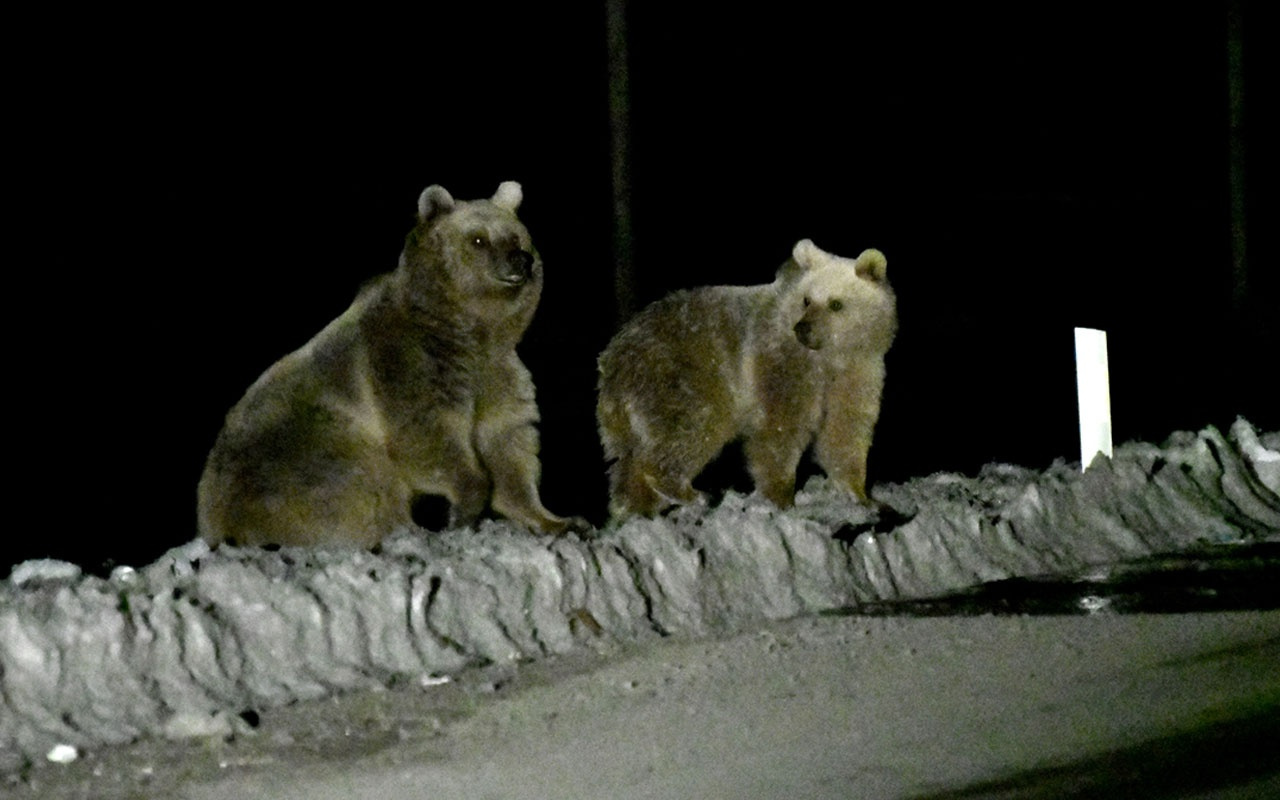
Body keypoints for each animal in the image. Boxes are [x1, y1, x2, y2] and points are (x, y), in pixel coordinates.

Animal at [199, 179, 586, 547]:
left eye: (517, 236)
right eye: (478, 239)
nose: (520, 260)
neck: (471, 330)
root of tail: (210, 519)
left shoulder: (497, 373)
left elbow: (509, 443)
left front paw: (557, 519)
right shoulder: (405, 363)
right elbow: (427, 436)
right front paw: (465, 505)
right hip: (304, 451)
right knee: (361, 484)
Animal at [593, 236, 896, 522]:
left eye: (835, 303)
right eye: (807, 300)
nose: (803, 328)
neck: (830, 357)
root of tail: (612, 360)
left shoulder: (859, 371)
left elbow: (845, 430)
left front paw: (860, 494)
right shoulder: (782, 363)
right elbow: (779, 429)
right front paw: (780, 495)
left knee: (631, 458)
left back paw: (636, 505)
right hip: (680, 375)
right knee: (693, 426)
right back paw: (685, 490)